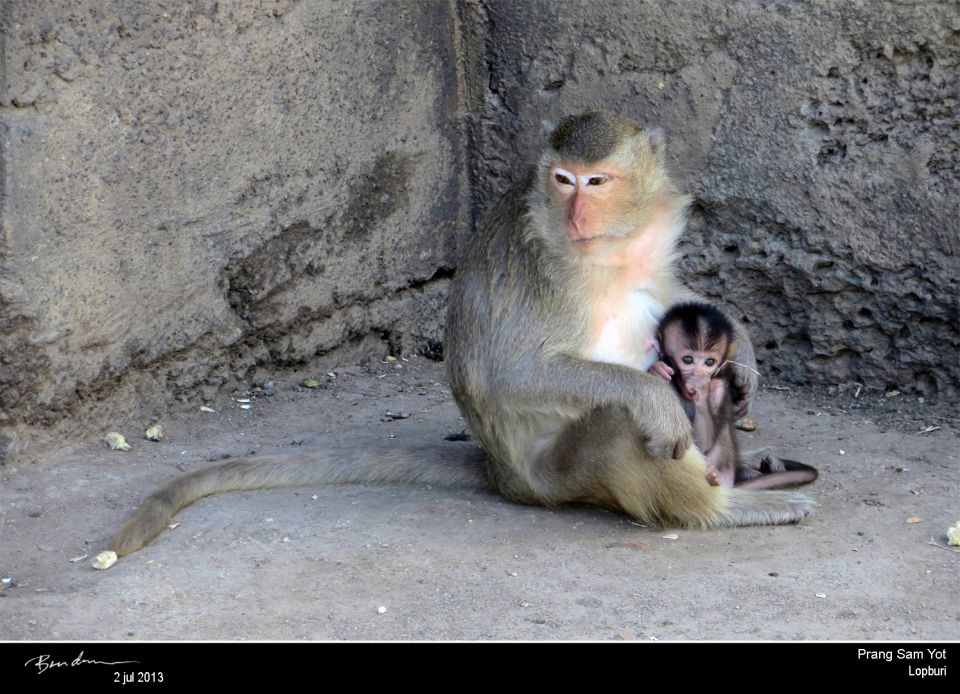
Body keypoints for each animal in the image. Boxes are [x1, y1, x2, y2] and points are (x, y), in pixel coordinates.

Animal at [648, 304, 812, 490]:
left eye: (709, 362)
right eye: (687, 360)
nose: (698, 375)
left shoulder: (718, 387)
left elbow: (705, 443)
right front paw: (658, 369)